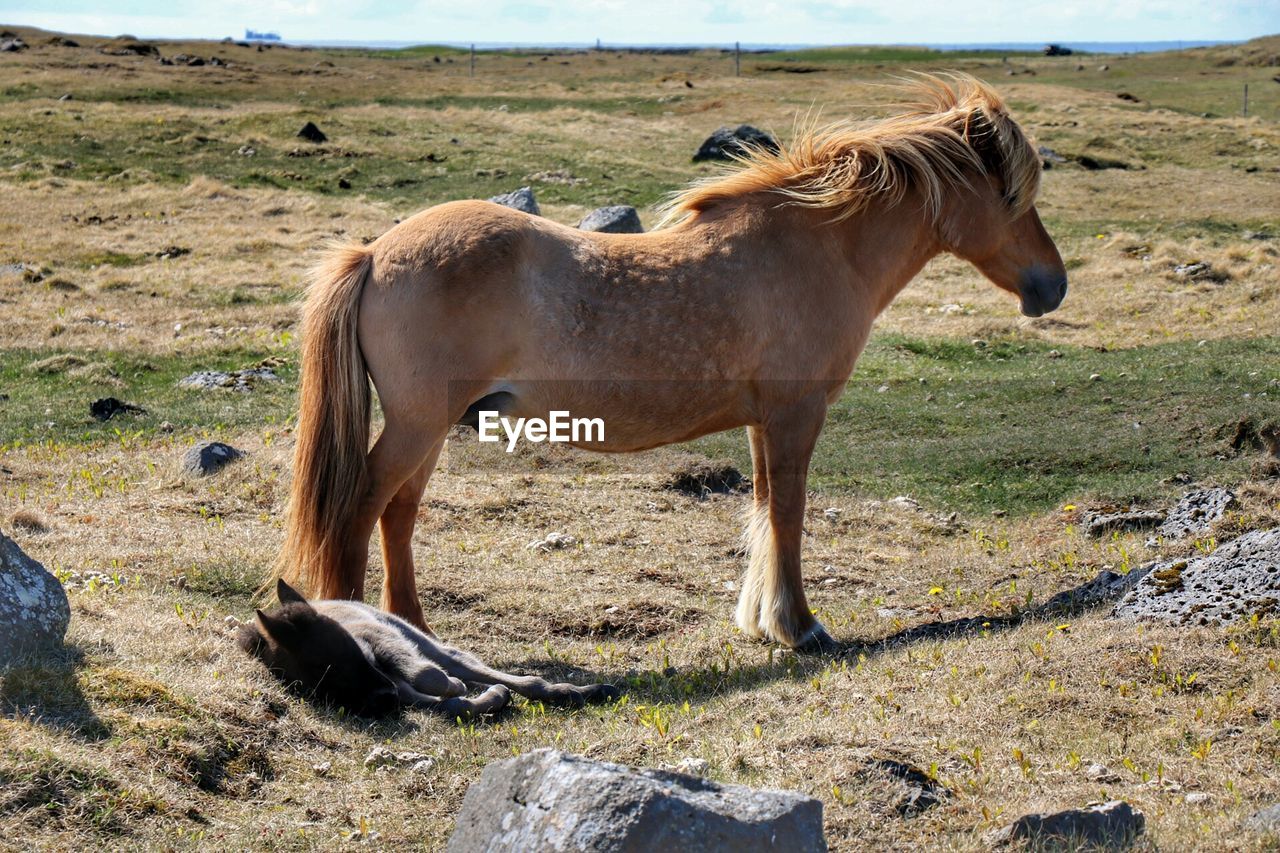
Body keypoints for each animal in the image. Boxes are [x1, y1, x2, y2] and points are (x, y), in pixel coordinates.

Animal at [277, 76, 1070, 650]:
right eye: (1010, 194)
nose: (1052, 285)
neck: (814, 248)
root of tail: (374, 253)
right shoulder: (795, 415)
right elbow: (789, 512)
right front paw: (800, 626)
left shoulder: (762, 421)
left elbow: (762, 508)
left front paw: (762, 619)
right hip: (420, 423)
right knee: (360, 507)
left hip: (435, 426)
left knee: (398, 513)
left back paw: (418, 632)